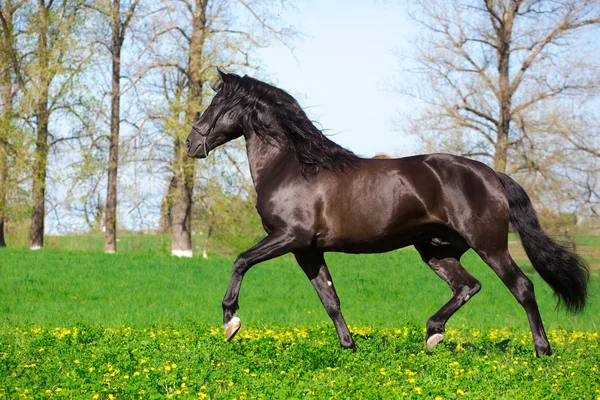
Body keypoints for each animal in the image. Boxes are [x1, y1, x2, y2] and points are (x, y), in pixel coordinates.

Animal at [185, 69, 588, 356]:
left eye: (215, 104)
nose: (191, 143)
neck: (293, 167)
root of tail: (491, 175)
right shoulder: (307, 250)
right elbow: (329, 299)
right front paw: (349, 347)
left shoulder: (289, 237)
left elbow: (240, 261)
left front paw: (230, 322)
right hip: (436, 249)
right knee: (467, 286)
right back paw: (433, 335)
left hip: (489, 244)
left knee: (521, 287)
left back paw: (542, 350)